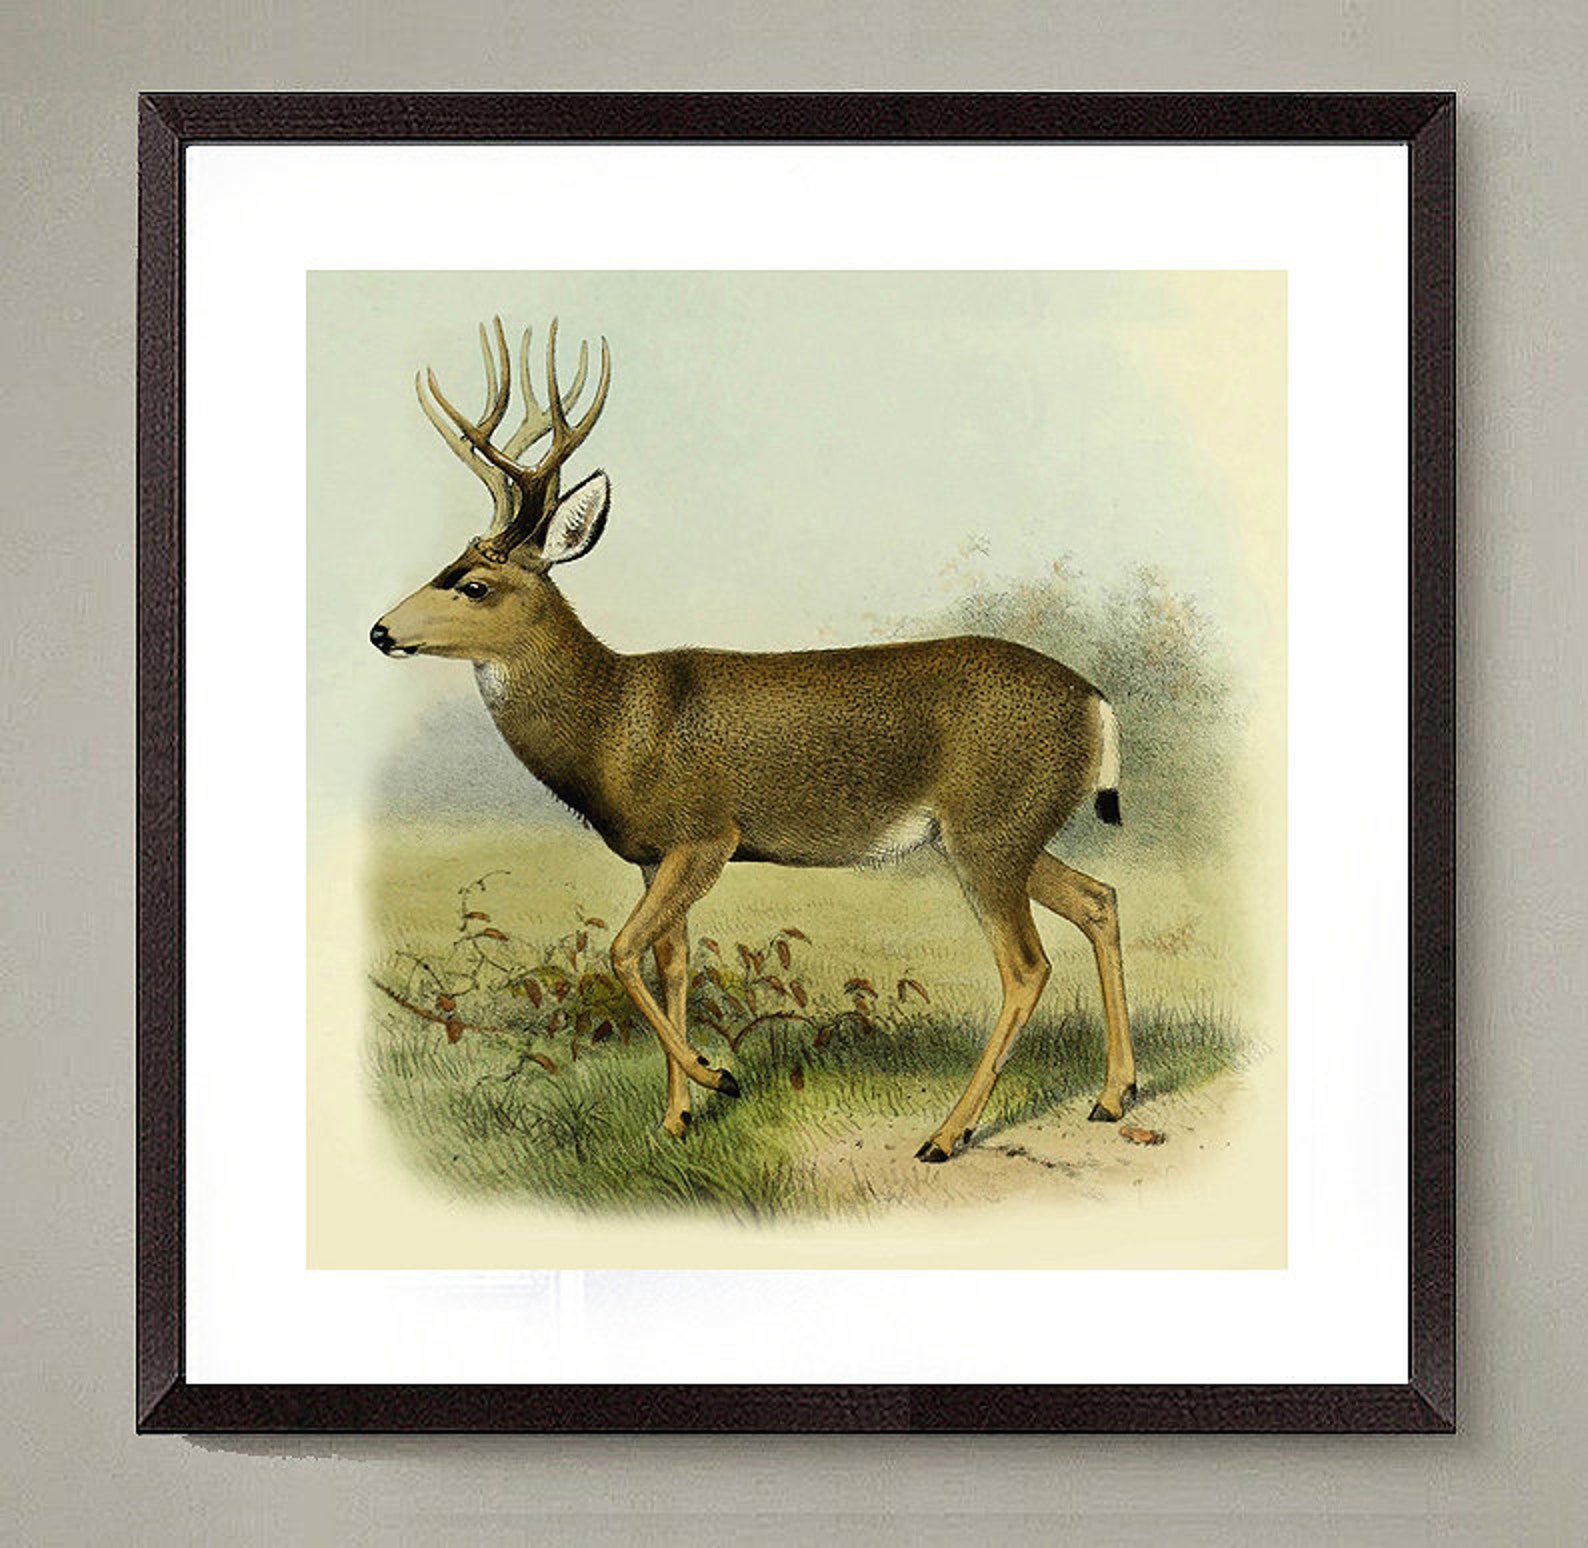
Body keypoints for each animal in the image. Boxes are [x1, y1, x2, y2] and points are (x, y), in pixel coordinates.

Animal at [371, 318, 1136, 1163]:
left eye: (473, 584)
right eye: (448, 565)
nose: (380, 631)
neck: (614, 718)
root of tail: (1097, 701)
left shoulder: (707, 834)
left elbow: (622, 952)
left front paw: (719, 1077)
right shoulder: (654, 854)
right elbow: (669, 964)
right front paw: (677, 1118)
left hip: (988, 831)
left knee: (1027, 965)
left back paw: (948, 1133)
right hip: (1007, 832)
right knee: (1099, 899)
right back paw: (1113, 1096)